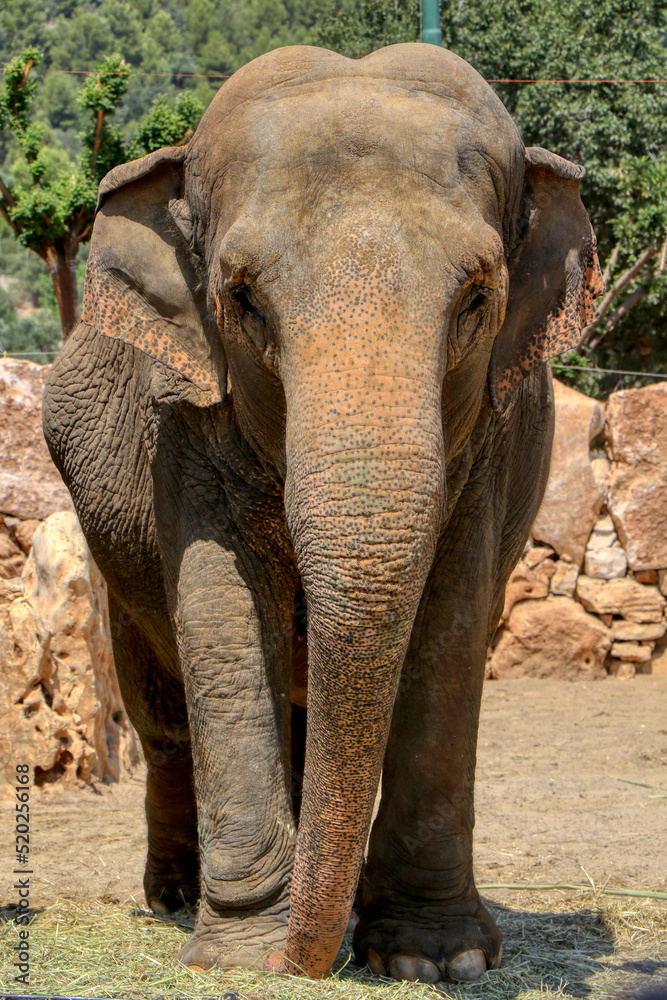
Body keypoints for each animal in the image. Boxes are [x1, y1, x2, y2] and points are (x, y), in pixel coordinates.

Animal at [42, 42, 602, 983]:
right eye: (241, 297)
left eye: (477, 297)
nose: (294, 965)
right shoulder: (181, 418)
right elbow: (222, 617)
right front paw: (238, 956)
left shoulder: (494, 436)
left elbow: (452, 621)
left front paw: (431, 961)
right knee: (161, 714)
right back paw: (175, 896)